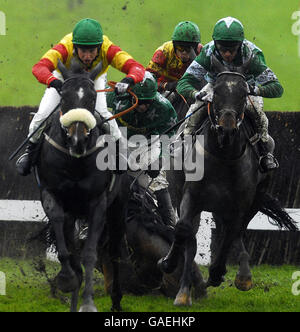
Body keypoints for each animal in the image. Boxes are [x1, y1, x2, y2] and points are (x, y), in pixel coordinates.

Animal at [35, 61, 131, 312]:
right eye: (64, 97)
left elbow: (89, 254)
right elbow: (67, 247)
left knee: (114, 252)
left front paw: (88, 302)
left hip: (118, 209)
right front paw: (66, 279)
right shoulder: (51, 195)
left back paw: (116, 300)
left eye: (91, 98)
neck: (75, 161)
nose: (77, 139)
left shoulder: (98, 203)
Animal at [158, 55, 296, 306]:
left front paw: (218, 272)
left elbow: (231, 233)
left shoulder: (241, 202)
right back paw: (185, 288)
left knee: (237, 230)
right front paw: (170, 266)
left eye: (243, 94)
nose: (227, 129)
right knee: (191, 236)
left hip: (251, 199)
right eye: (217, 92)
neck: (222, 155)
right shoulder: (191, 195)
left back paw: (242, 275)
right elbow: (183, 229)